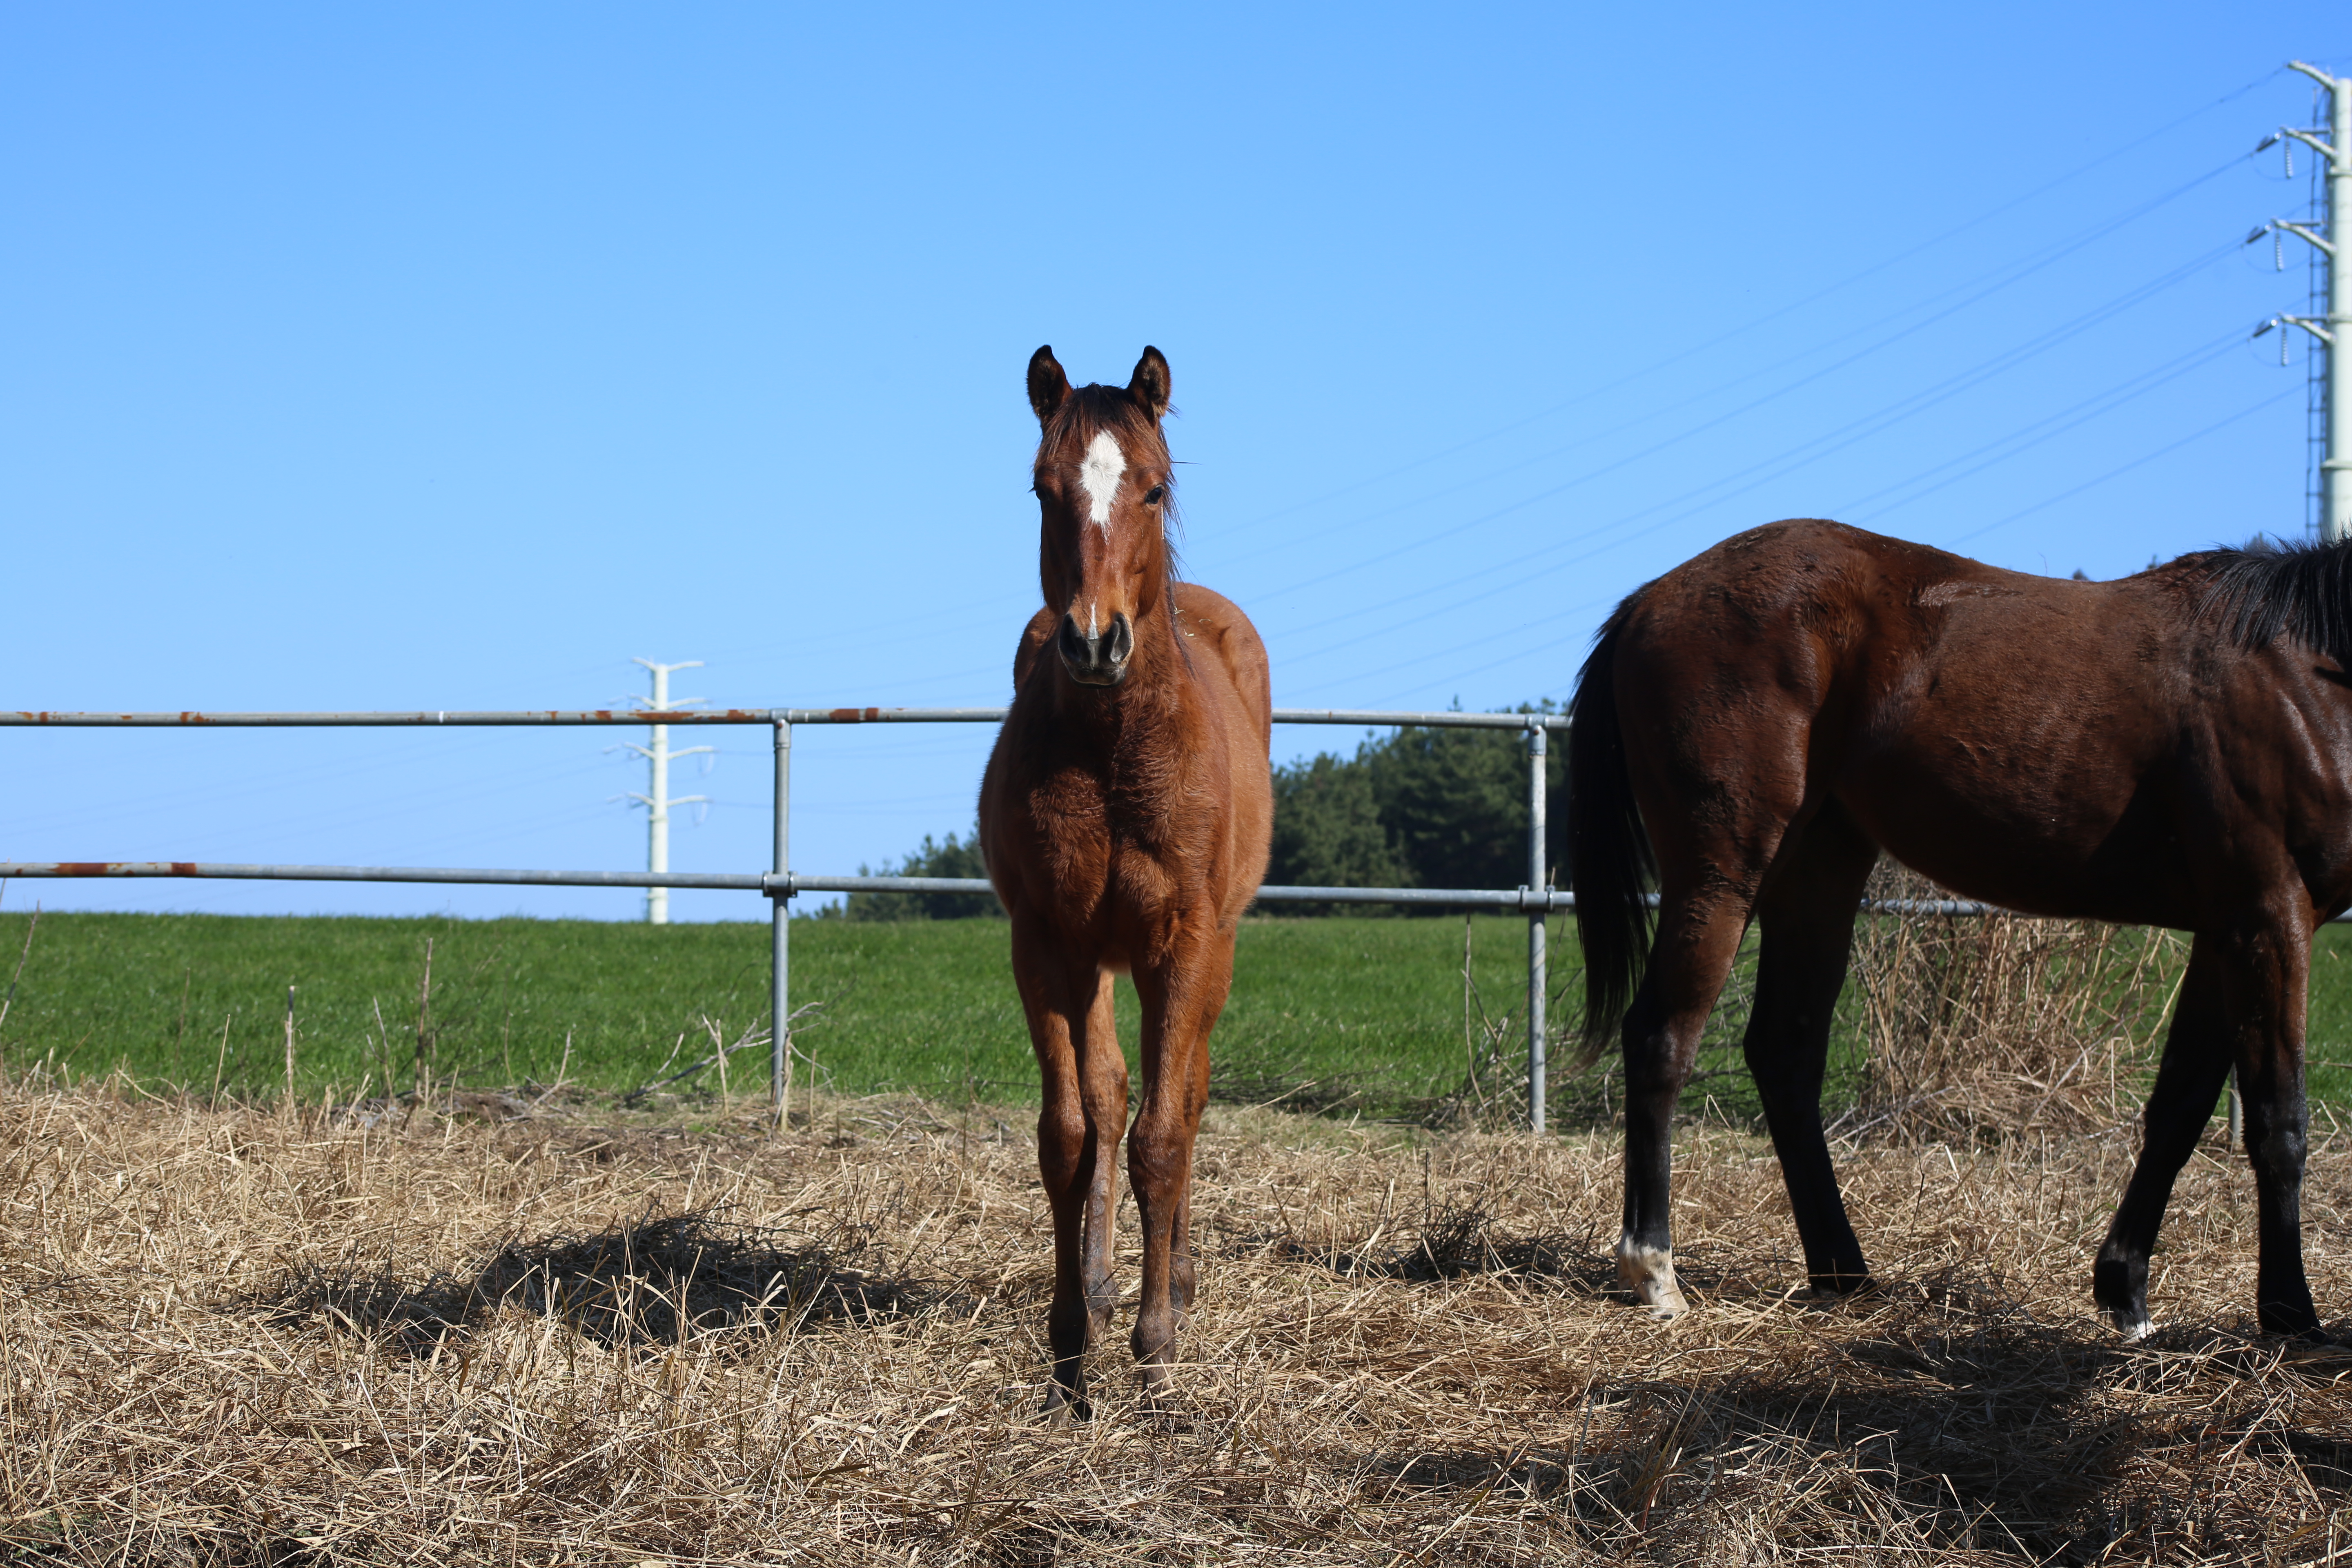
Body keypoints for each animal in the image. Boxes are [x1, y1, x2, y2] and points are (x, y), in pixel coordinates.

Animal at [973, 345, 1270, 1420]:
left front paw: (1156, 1348)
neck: (1109, 748)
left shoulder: (1181, 946)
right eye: (1043, 487)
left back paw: (1169, 1285)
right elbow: (1073, 1133)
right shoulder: (1047, 945)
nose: (1094, 642)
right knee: (1106, 1100)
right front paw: (1070, 1348)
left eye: (1150, 486)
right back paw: (1102, 1287)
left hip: (1207, 955)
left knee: (1184, 1097)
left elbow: (1160, 1137)